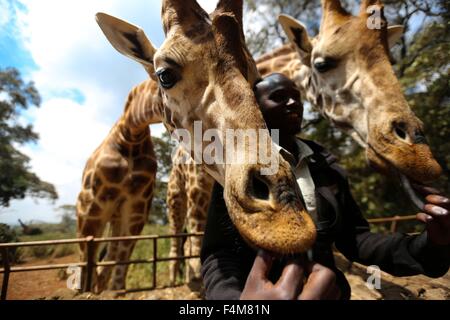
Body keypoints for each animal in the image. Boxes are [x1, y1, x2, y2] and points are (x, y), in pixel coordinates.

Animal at [77, 0, 316, 292]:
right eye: (165, 75)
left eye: (255, 78)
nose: (286, 223)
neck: (130, 133)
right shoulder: (188, 194)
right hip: (136, 207)